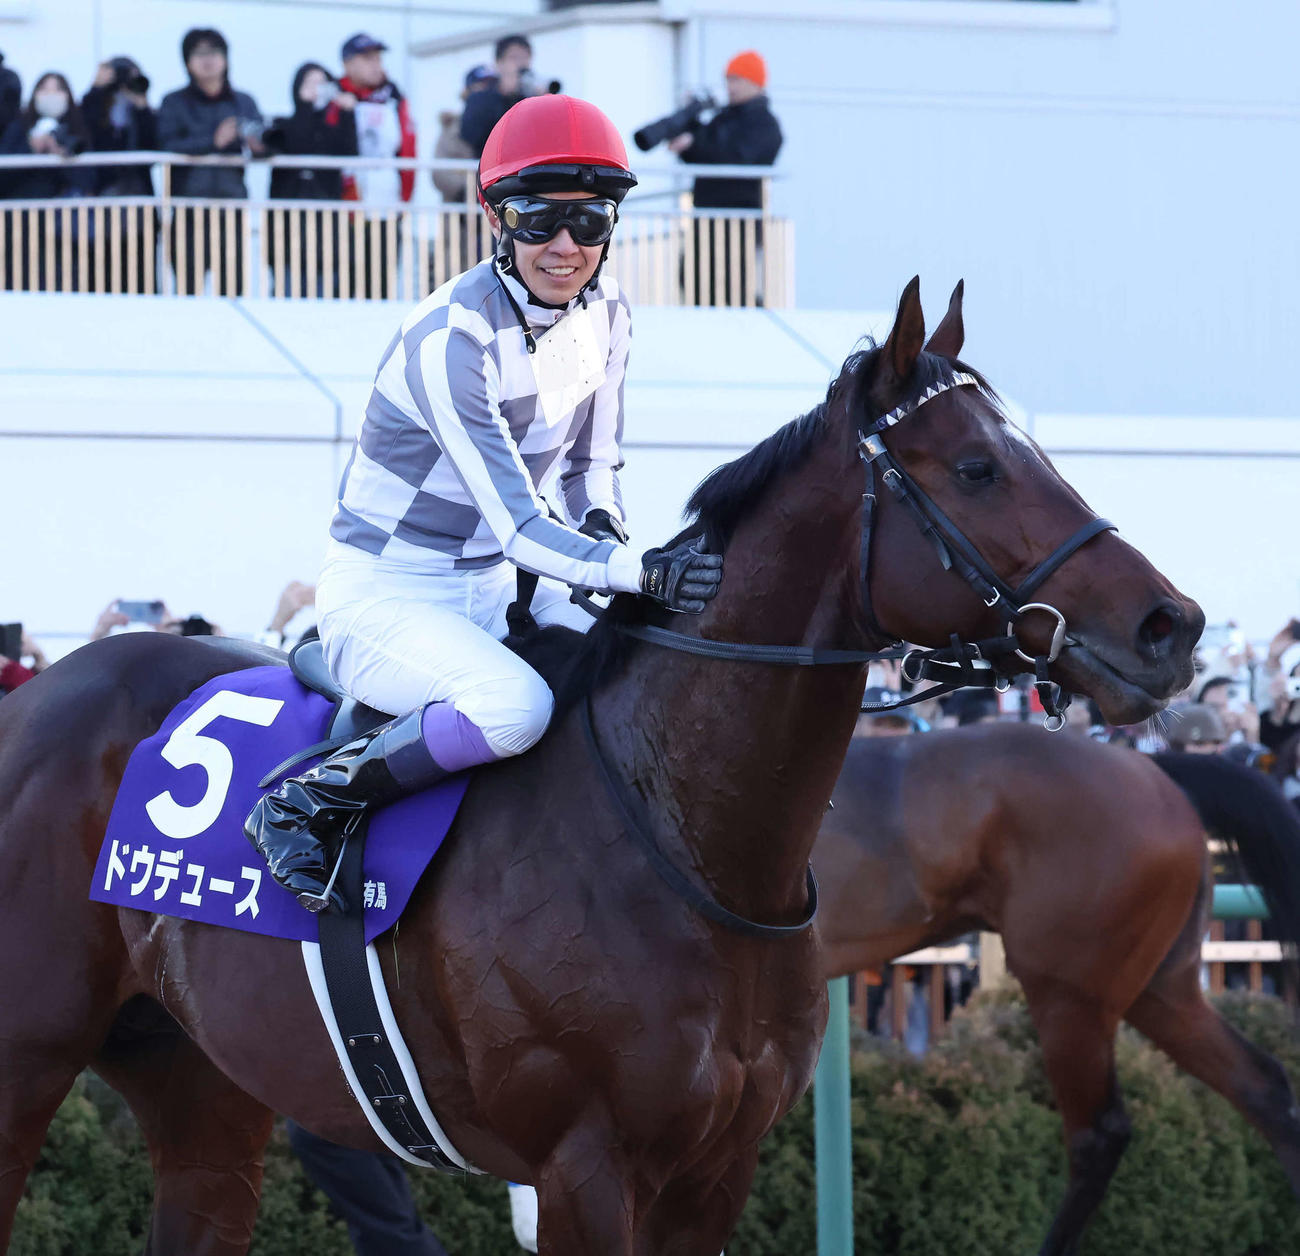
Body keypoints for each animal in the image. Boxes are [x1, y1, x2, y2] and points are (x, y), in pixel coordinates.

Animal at [0, 278, 1202, 1255]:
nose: (1169, 625)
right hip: (31, 1051)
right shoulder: (582, 1168)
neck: (685, 840)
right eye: (976, 466)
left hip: (199, 1082)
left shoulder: (714, 1173)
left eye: (1038, 453)